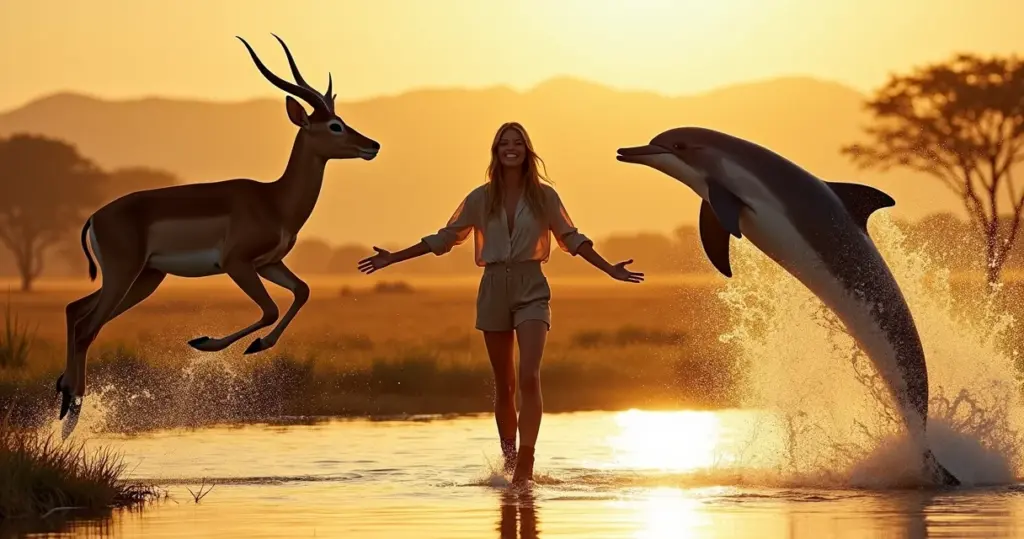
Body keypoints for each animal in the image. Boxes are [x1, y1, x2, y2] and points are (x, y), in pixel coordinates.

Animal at [56, 35, 380, 428]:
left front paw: (257, 344)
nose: (373, 145)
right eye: (334, 125)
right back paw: (72, 409)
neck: (274, 200)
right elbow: (270, 309)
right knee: (88, 327)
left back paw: (64, 394)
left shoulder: (268, 263)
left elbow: (302, 291)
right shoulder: (236, 263)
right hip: (124, 276)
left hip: (145, 279)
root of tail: (95, 217)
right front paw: (208, 341)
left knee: (75, 311)